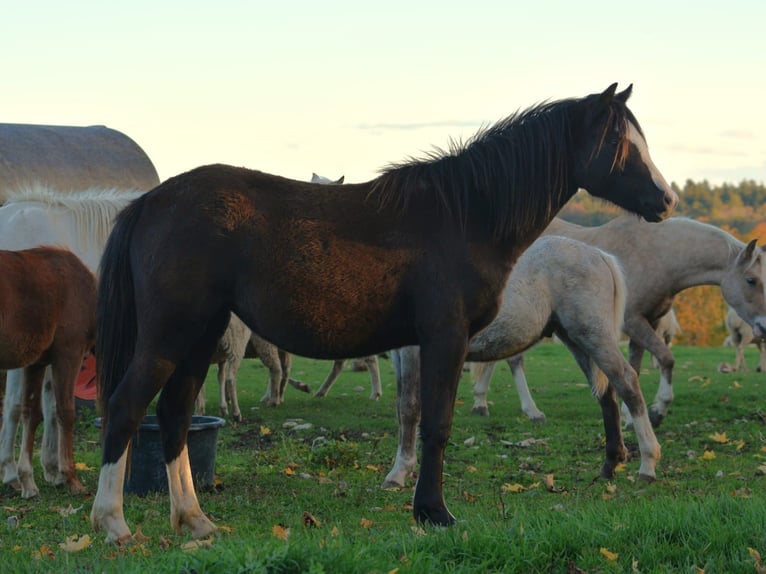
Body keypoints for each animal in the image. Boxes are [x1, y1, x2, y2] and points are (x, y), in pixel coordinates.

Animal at [0, 247, 97, 498]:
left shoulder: (36, 363)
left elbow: (30, 413)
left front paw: (27, 480)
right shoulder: (68, 355)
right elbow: (65, 412)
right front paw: (70, 477)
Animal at [382, 236, 661, 490]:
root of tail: (599, 254)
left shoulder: (414, 350)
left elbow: (409, 408)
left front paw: (398, 473)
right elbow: (401, 407)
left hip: (594, 336)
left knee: (626, 382)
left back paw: (647, 464)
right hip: (576, 340)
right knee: (606, 392)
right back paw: (610, 465)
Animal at [474, 216, 766, 427]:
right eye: (751, 280)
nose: (763, 326)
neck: (656, 255)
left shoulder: (647, 324)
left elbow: (634, 368)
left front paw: (630, 414)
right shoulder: (634, 322)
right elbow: (666, 358)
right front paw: (658, 410)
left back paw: (481, 403)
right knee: (514, 361)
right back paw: (531, 410)